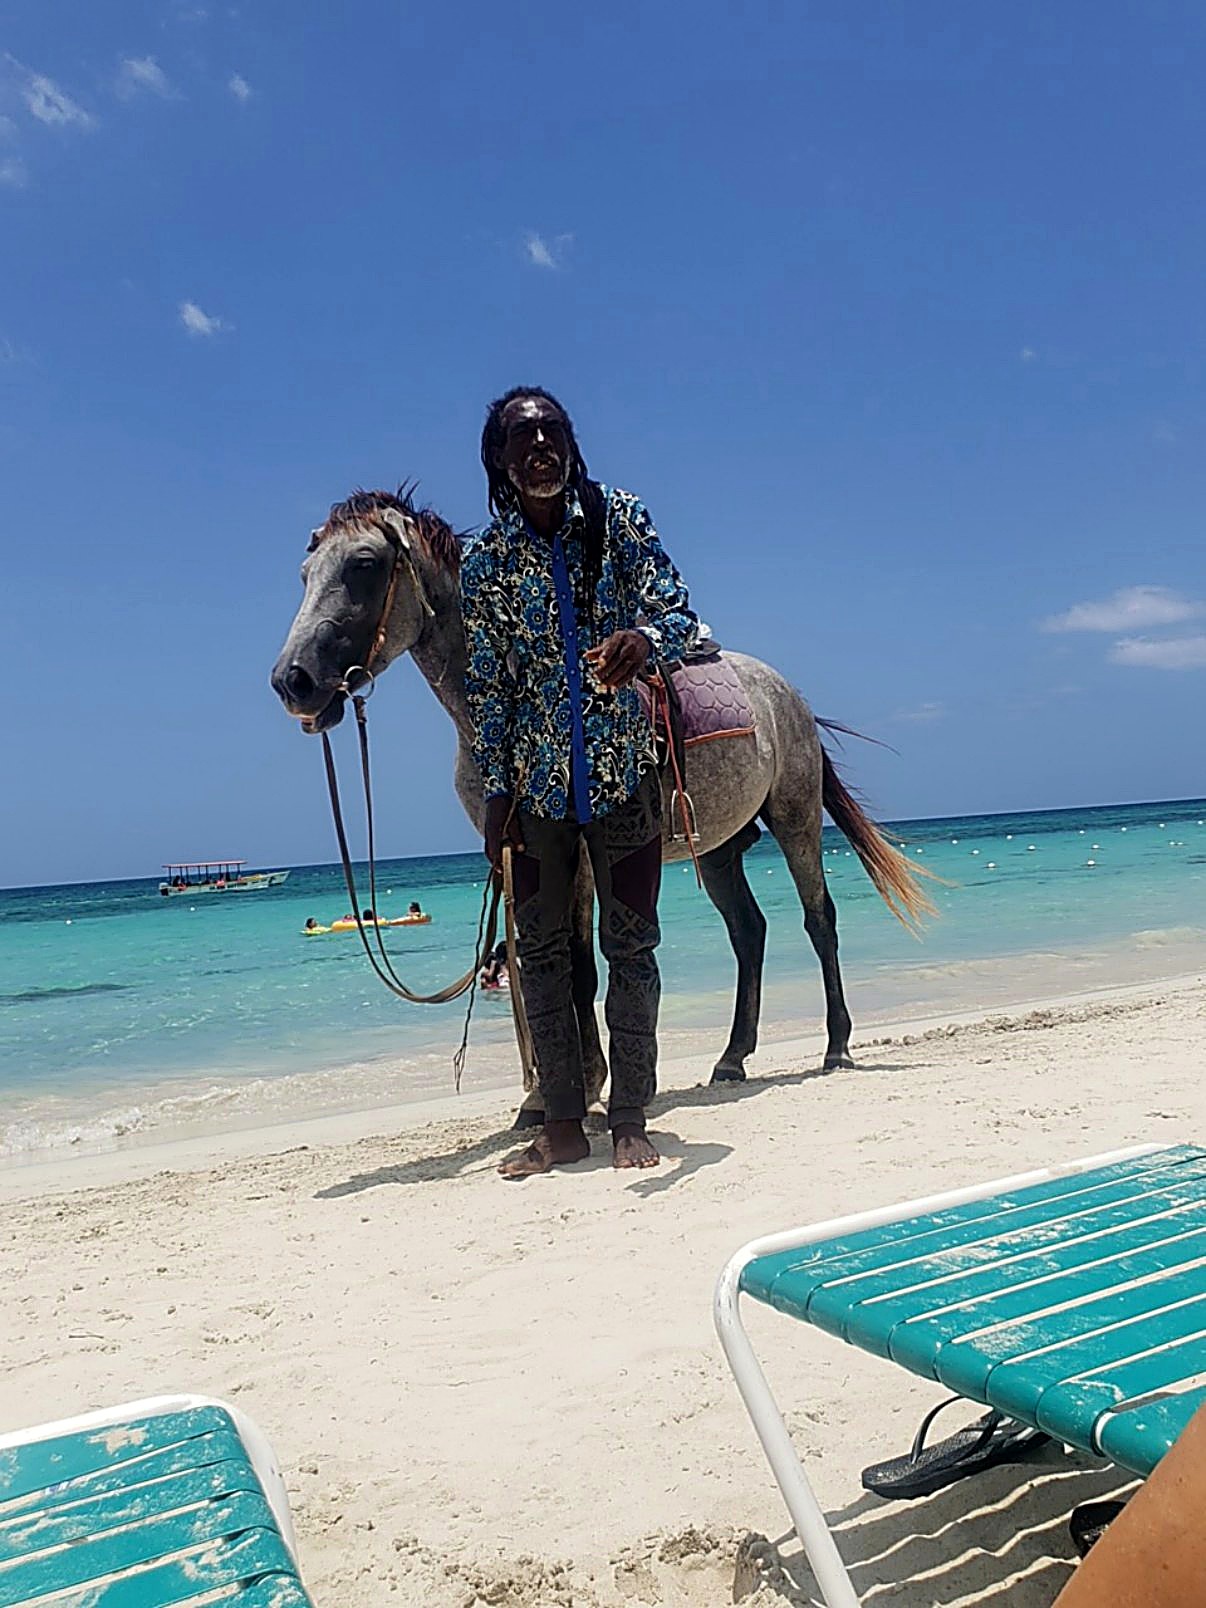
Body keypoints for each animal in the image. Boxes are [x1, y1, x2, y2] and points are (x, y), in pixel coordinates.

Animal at [271, 488, 935, 1125]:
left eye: (364, 564)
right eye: (304, 573)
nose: (292, 681)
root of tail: (788, 694)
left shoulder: (586, 859)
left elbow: (582, 968)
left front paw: (588, 1085)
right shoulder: (514, 855)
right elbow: (537, 963)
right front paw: (542, 1099)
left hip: (796, 819)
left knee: (819, 920)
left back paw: (837, 1046)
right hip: (720, 849)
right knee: (749, 933)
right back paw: (731, 1058)